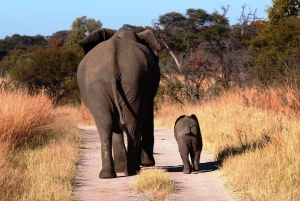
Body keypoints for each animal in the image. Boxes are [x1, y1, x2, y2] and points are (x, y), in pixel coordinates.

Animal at [78, 28, 162, 179]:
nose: (148, 163)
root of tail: (112, 68)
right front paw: (146, 164)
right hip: (123, 83)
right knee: (126, 124)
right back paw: (130, 171)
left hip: (120, 83)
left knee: (106, 124)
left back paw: (112, 174)